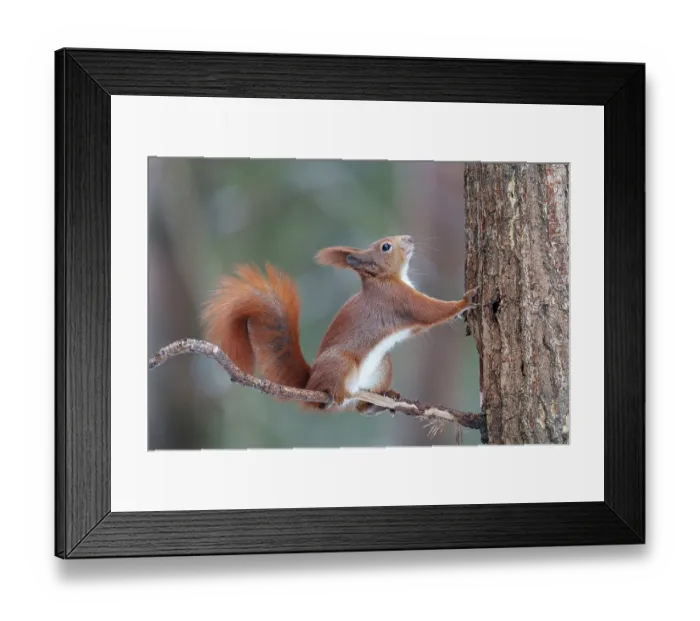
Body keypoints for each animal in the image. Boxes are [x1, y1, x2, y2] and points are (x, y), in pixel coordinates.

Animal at [201, 235, 479, 413]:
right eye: (386, 246)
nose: (410, 238)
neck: (384, 278)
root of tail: (308, 383)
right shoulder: (398, 300)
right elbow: (430, 311)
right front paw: (464, 301)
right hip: (340, 362)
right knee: (330, 398)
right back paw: (335, 395)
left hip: (383, 365)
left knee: (360, 407)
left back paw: (381, 400)